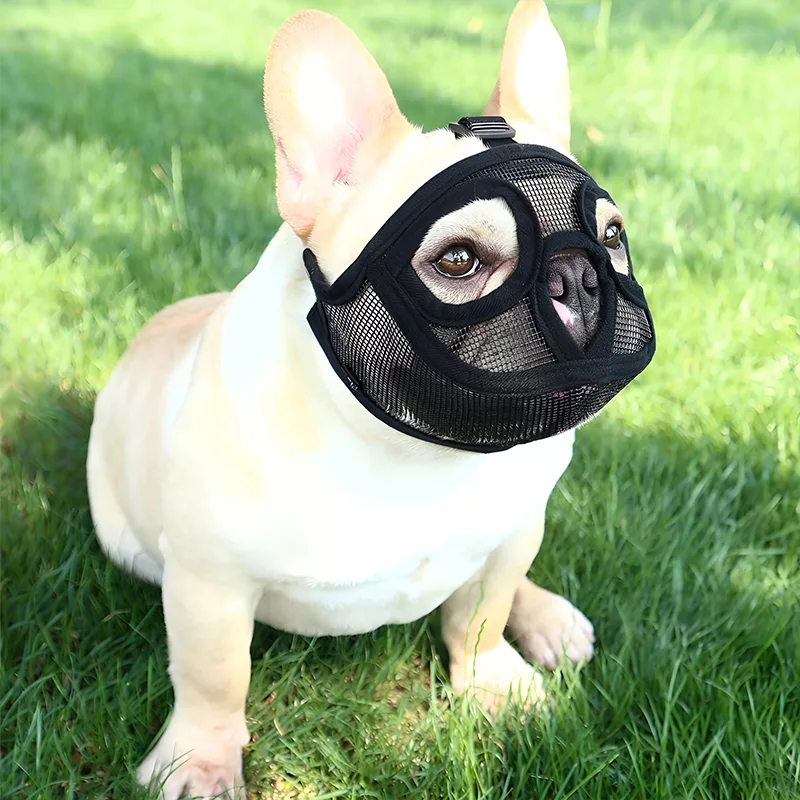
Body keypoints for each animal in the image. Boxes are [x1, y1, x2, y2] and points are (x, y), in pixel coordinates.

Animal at [87, 2, 649, 797]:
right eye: (457, 260)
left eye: (613, 236)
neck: (418, 447)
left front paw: (493, 682)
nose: (580, 275)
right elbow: (214, 677)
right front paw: (201, 759)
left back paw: (545, 619)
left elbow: (483, 612)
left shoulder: (512, 535)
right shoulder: (208, 582)